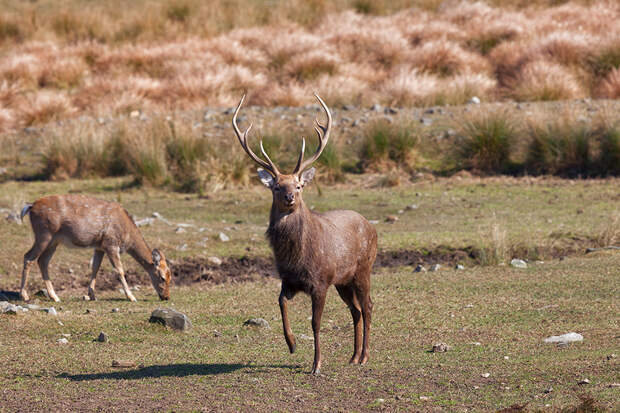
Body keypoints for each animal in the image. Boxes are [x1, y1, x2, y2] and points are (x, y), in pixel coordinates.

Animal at [20, 195, 171, 300]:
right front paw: (131, 297)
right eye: (162, 277)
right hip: (44, 234)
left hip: (54, 241)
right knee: (28, 257)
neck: (127, 236)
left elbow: (95, 267)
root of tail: (30, 207)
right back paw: (24, 295)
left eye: (171, 277)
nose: (166, 297)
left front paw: (91, 295)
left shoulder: (99, 246)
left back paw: (54, 296)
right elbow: (119, 270)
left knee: (42, 261)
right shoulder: (111, 243)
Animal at [232, 93, 378, 374]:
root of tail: (371, 225)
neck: (297, 257)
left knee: (367, 306)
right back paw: (353, 357)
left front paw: (316, 364)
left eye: (299, 185)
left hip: (363, 269)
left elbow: (315, 323)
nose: (290, 197)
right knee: (355, 309)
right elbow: (281, 303)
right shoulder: (288, 280)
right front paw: (291, 344)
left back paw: (365, 356)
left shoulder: (320, 281)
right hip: (343, 280)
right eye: (277, 186)